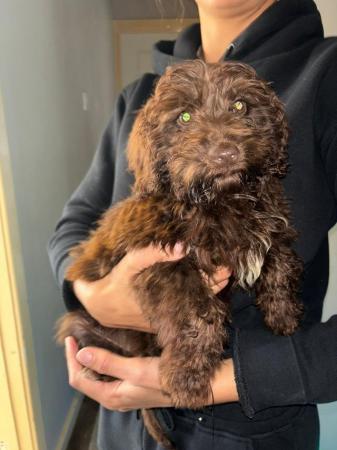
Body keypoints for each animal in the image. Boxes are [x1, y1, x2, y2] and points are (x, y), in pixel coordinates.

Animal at [55, 60, 302, 450]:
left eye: (240, 106)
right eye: (184, 117)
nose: (226, 152)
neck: (220, 200)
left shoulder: (270, 224)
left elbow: (279, 262)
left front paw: (283, 315)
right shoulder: (165, 265)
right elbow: (197, 315)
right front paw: (187, 379)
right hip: (83, 326)